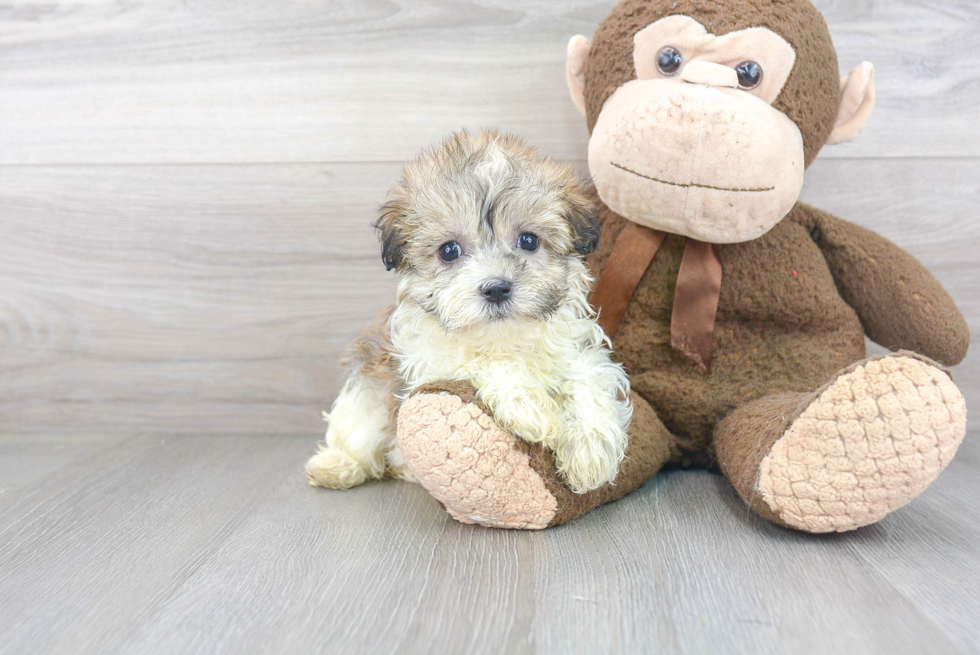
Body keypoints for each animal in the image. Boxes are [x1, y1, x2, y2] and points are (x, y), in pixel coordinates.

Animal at [302, 131, 632, 494]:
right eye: (449, 250)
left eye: (529, 241)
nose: (497, 288)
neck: (504, 338)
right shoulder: (429, 360)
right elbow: (482, 361)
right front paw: (529, 406)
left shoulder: (577, 347)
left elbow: (587, 376)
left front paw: (591, 450)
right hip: (367, 393)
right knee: (361, 439)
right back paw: (337, 466)